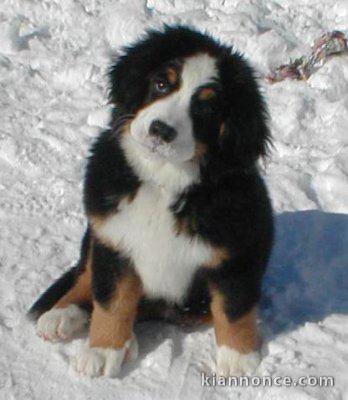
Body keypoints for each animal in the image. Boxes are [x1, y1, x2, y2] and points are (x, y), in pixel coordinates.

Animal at [28, 25, 274, 378]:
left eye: (207, 108)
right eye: (161, 83)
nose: (161, 130)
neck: (163, 180)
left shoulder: (237, 252)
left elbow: (233, 307)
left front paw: (238, 358)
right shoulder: (113, 240)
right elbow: (111, 300)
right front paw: (103, 349)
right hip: (95, 235)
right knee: (86, 274)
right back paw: (63, 315)